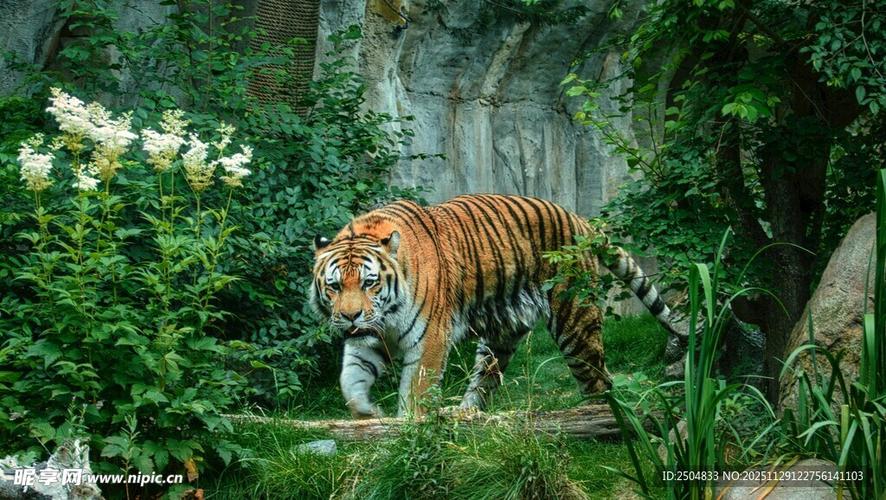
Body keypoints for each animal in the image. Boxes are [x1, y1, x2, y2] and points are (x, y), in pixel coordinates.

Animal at [310, 194, 683, 418]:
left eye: (369, 283)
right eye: (335, 286)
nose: (350, 316)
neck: (385, 315)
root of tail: (579, 220)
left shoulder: (429, 340)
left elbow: (416, 391)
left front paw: (407, 428)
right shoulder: (367, 339)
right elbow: (350, 381)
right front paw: (368, 415)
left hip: (575, 322)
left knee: (599, 380)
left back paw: (596, 418)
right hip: (501, 334)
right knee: (486, 379)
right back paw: (465, 415)